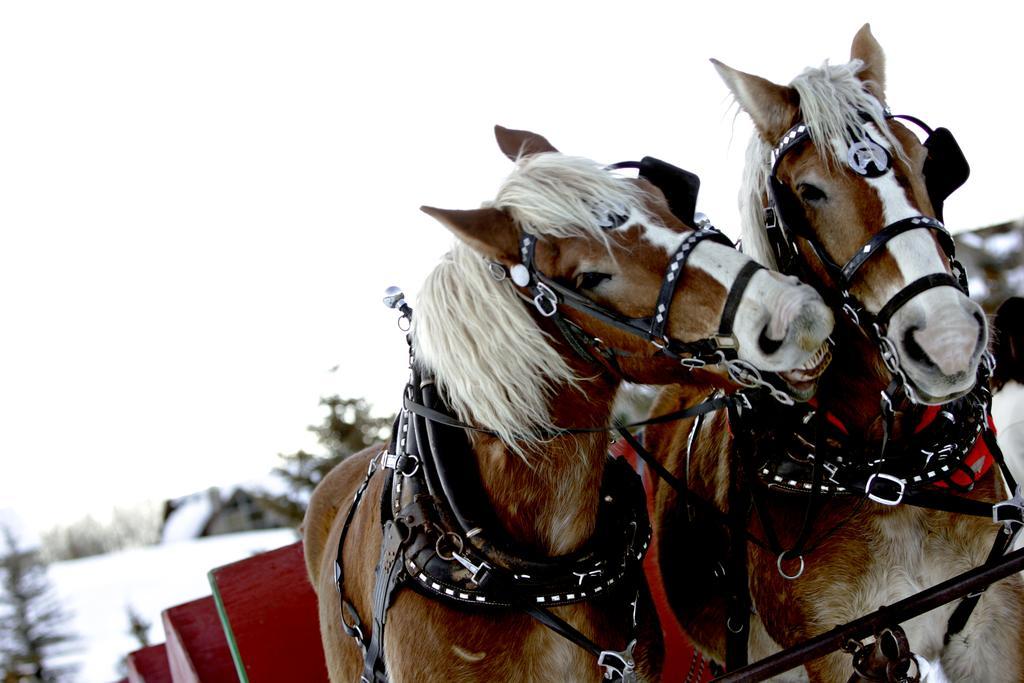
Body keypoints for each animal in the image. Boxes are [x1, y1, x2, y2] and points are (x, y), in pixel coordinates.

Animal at [647, 24, 1024, 679]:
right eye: (809, 190)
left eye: (926, 162)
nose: (948, 340)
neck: (891, 470)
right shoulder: (836, 647)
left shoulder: (993, 615)